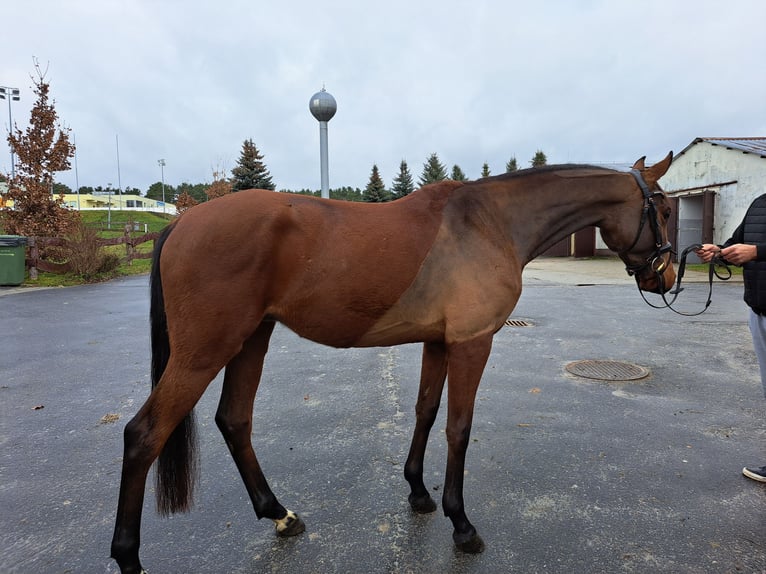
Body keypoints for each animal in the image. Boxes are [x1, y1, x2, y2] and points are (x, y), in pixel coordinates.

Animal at [111, 152, 676, 572]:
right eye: (665, 211)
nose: (666, 277)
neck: (489, 223)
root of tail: (185, 221)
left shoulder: (439, 343)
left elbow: (426, 412)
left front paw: (418, 493)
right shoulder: (472, 343)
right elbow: (458, 428)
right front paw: (461, 524)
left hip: (252, 340)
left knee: (234, 420)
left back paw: (279, 514)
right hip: (204, 352)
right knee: (144, 435)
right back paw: (129, 557)